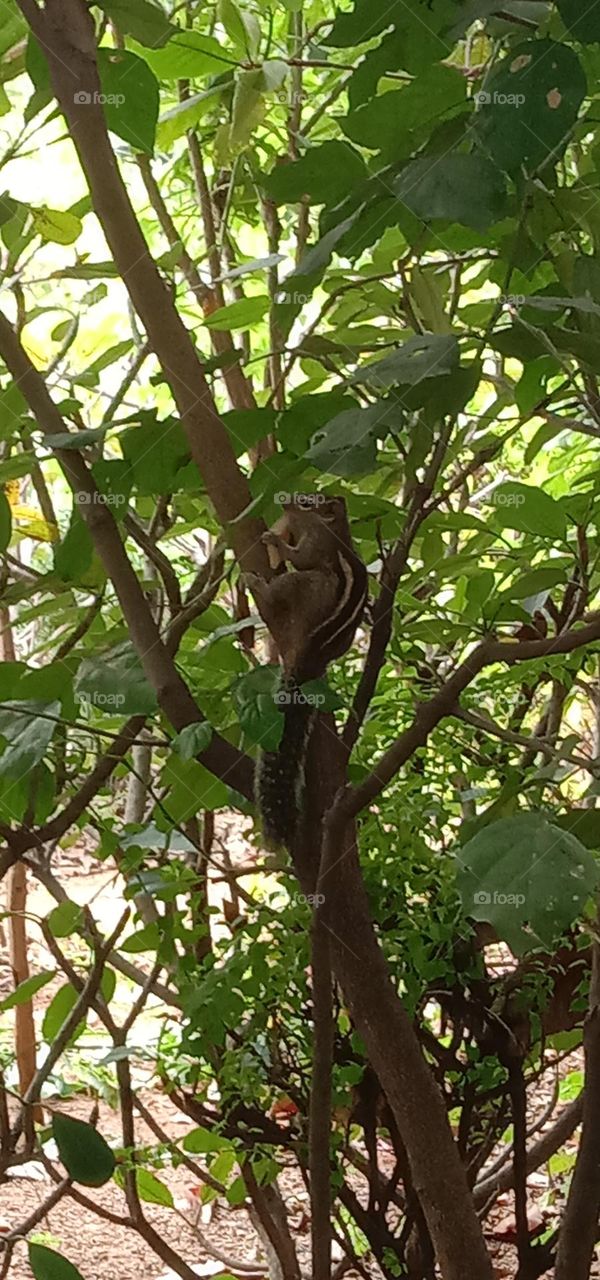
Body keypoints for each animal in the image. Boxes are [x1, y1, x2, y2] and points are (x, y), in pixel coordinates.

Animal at [241, 494, 365, 844]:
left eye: (309, 502)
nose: (283, 500)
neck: (333, 525)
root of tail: (313, 655)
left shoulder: (316, 546)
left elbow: (300, 557)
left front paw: (275, 541)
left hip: (306, 586)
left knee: (283, 590)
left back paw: (257, 584)